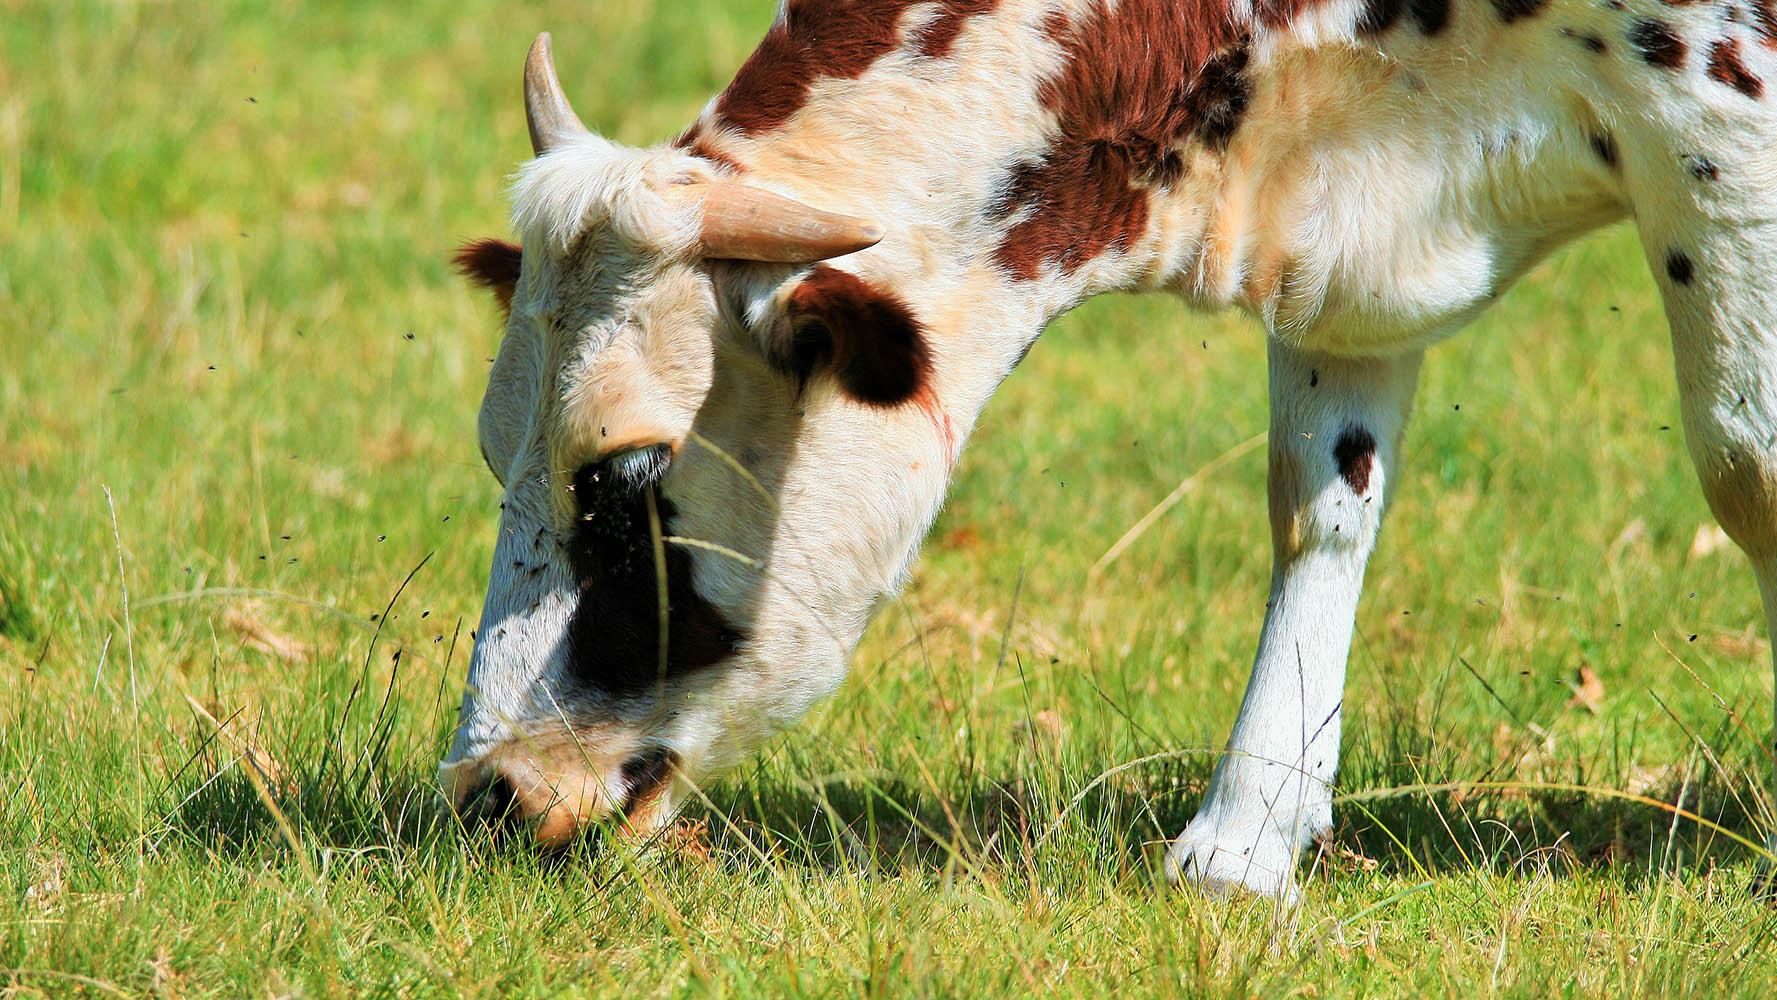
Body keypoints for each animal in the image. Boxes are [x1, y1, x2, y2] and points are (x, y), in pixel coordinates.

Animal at [440, 0, 1777, 902]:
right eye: (496, 452)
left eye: (622, 474)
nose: (484, 790)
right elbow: (1319, 500)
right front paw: (1244, 837)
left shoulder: (1719, 116)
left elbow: (1746, 464)